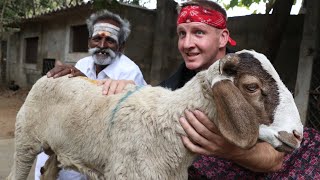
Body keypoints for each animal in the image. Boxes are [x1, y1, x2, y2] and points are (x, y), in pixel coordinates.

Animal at [6, 50, 302, 180]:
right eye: (252, 87)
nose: (298, 135)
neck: (170, 120)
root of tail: (49, 74)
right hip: (25, 141)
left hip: (57, 150)